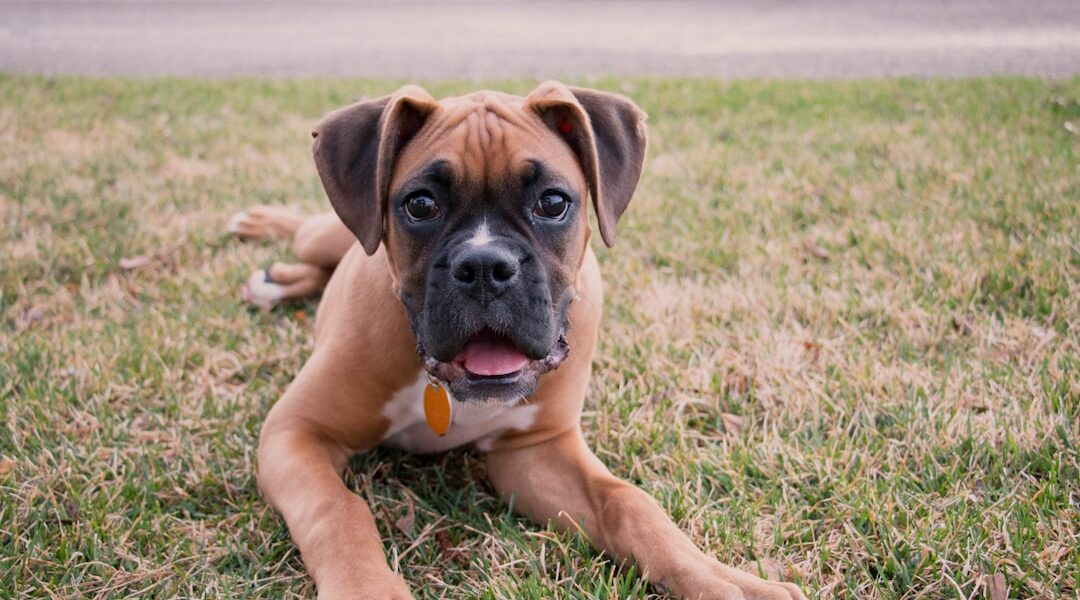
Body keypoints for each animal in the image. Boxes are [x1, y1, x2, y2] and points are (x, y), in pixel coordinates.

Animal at [238, 80, 812, 600]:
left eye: (553, 202)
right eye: (420, 205)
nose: (485, 267)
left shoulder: (536, 452)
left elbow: (628, 502)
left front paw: (722, 579)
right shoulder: (294, 433)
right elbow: (339, 510)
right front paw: (367, 591)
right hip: (327, 235)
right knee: (305, 232)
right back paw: (264, 230)